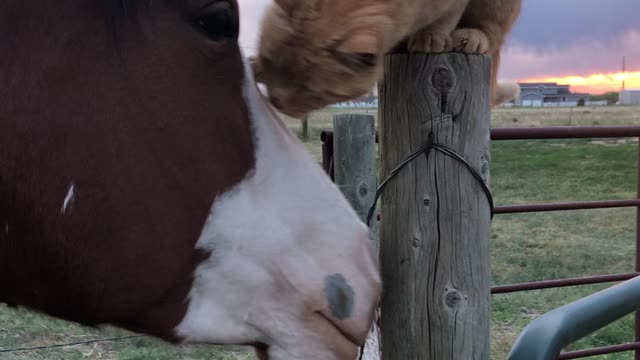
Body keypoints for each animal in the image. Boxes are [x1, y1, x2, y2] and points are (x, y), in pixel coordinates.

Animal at [250, 0, 520, 117]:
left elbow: (444, 18)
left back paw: (470, 37)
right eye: (269, 59)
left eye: (311, 91)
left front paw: (431, 36)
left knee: (492, 30)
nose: (275, 102)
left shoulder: (451, 4)